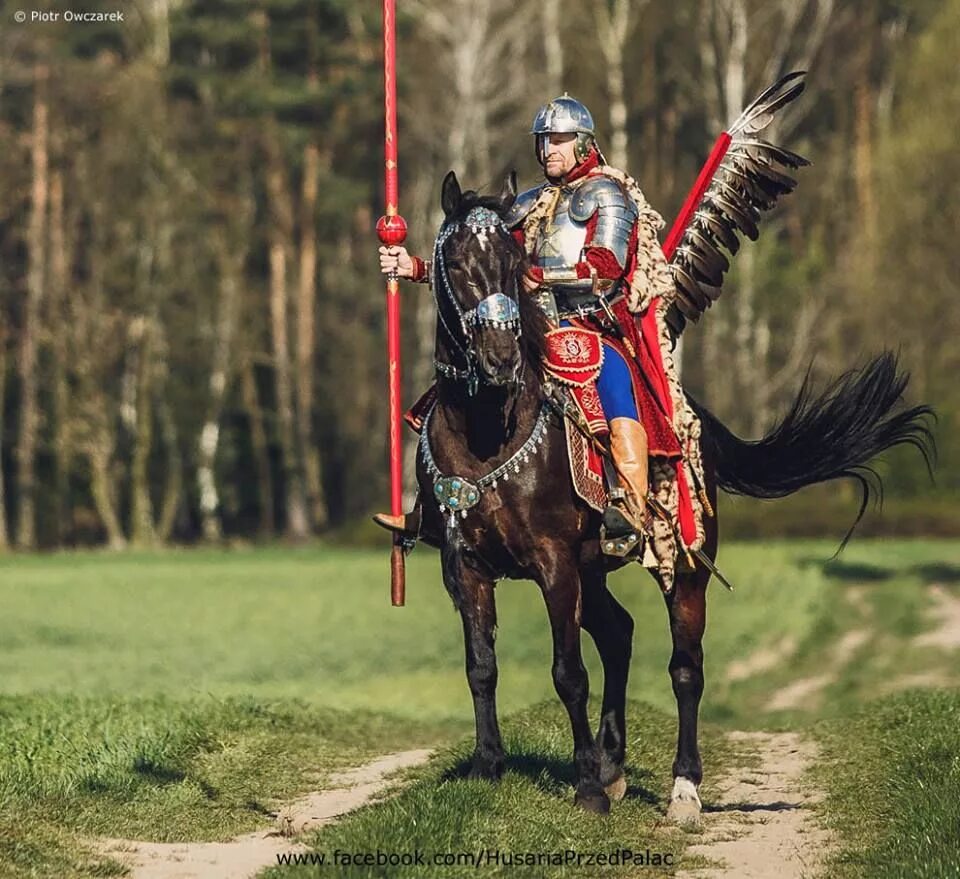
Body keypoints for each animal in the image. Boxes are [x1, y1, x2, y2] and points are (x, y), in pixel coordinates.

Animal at [416, 170, 932, 820]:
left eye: (513, 266)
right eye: (457, 264)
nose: (501, 358)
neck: (487, 433)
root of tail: (695, 423)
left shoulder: (554, 563)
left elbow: (568, 672)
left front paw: (586, 789)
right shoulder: (464, 566)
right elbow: (481, 666)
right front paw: (489, 769)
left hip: (683, 565)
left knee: (685, 667)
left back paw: (682, 787)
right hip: (594, 569)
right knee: (618, 634)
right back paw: (613, 765)